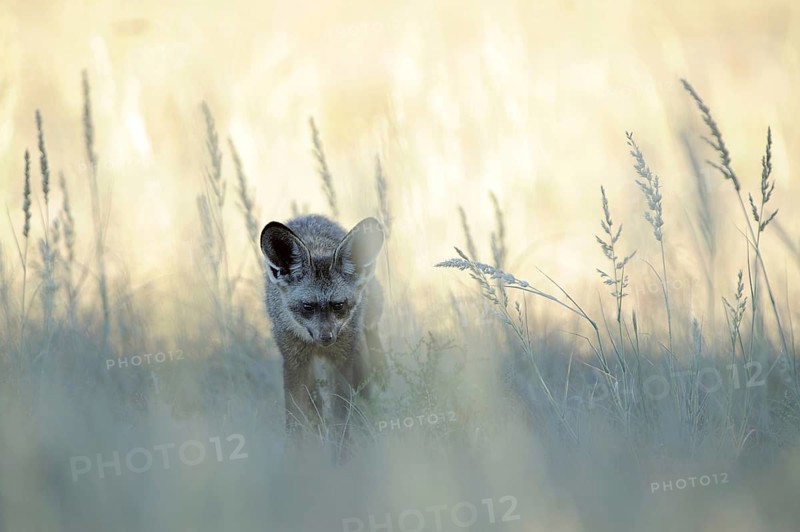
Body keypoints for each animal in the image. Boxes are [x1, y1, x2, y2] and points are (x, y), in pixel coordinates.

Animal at [260, 214, 385, 443]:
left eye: (339, 305)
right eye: (307, 306)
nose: (326, 337)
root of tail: (310, 216)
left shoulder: (342, 360)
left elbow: (341, 419)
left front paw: (342, 449)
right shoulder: (294, 363)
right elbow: (295, 422)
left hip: (364, 331)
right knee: (316, 402)